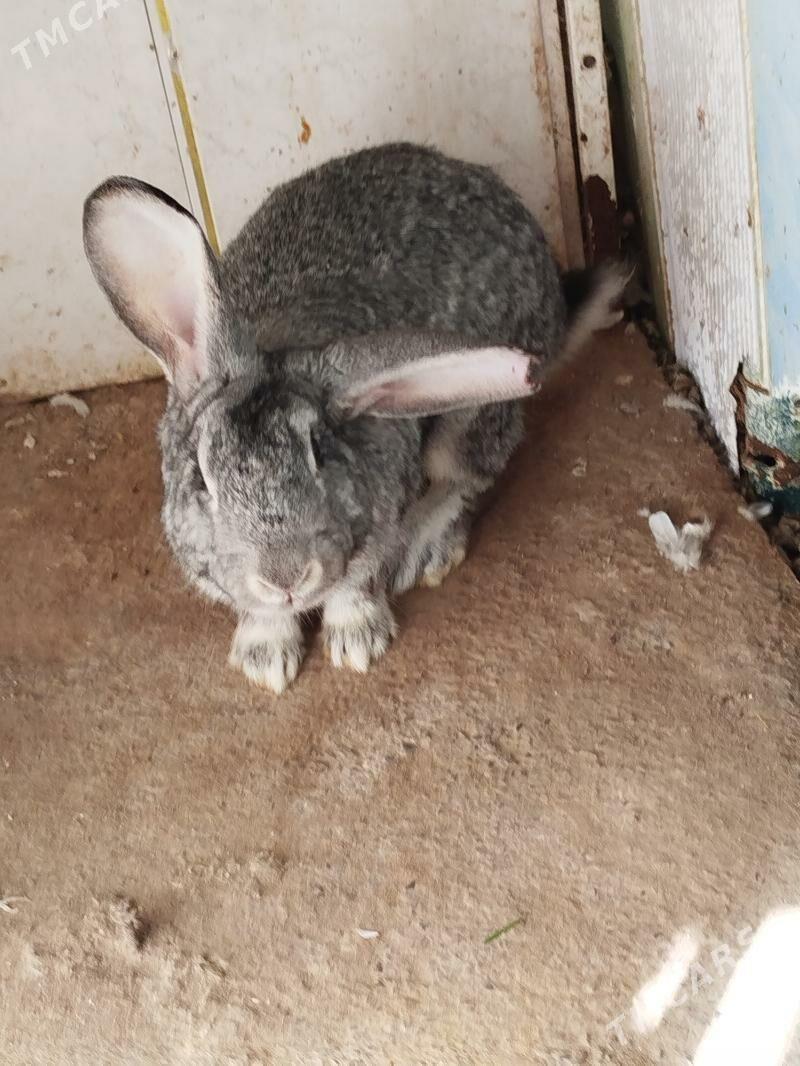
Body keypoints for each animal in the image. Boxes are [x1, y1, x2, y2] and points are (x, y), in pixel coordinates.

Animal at [83, 142, 625, 693]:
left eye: (319, 453)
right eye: (201, 478)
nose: (286, 577)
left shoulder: (377, 525)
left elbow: (358, 585)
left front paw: (357, 643)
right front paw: (264, 660)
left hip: (467, 413)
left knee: (469, 475)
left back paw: (425, 549)